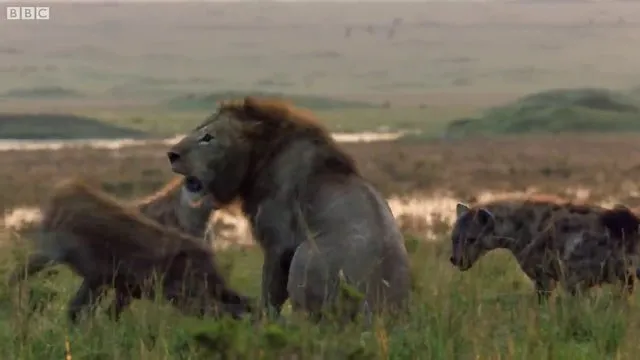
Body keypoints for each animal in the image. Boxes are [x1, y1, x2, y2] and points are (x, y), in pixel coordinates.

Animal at [162, 96, 408, 320]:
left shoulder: (279, 243)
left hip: (305, 253)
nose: (171, 154)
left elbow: (270, 293)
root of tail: (381, 312)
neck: (259, 158)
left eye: (208, 137)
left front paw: (263, 321)